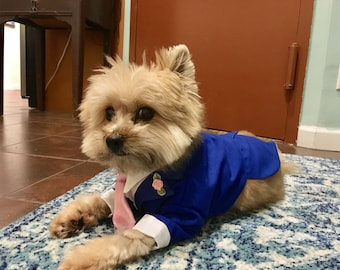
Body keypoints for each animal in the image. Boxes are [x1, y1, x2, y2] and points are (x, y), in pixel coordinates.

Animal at [48, 45, 294, 268]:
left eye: (146, 112)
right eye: (108, 113)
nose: (113, 139)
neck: (146, 170)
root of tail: (275, 153)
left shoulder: (179, 215)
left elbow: (123, 240)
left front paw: (80, 259)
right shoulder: (123, 193)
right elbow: (99, 199)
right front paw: (73, 217)